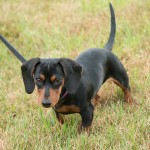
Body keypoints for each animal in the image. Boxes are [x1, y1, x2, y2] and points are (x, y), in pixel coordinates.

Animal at [0, 3, 132, 132]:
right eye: (38, 79)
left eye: (57, 80)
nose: (46, 103)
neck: (65, 95)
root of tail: (105, 50)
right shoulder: (57, 111)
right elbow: (61, 120)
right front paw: (60, 130)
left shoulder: (87, 111)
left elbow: (84, 128)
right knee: (97, 96)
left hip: (121, 77)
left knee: (127, 90)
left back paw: (130, 105)